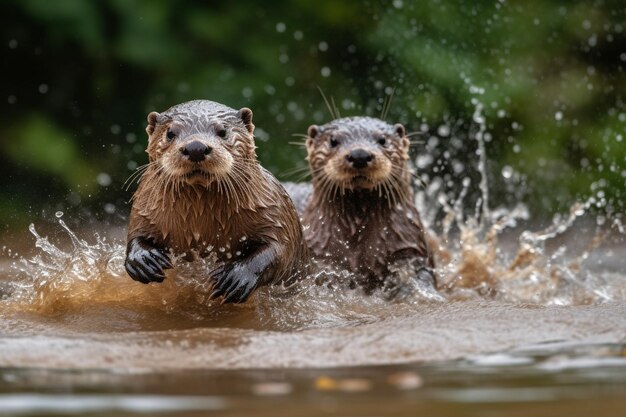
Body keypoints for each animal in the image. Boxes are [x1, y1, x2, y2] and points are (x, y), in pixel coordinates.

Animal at [123, 100, 308, 302]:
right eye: (170, 133)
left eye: (223, 131)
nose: (195, 147)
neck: (201, 222)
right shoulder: (143, 208)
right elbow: (135, 236)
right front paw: (144, 260)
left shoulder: (275, 211)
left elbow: (280, 250)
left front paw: (235, 278)